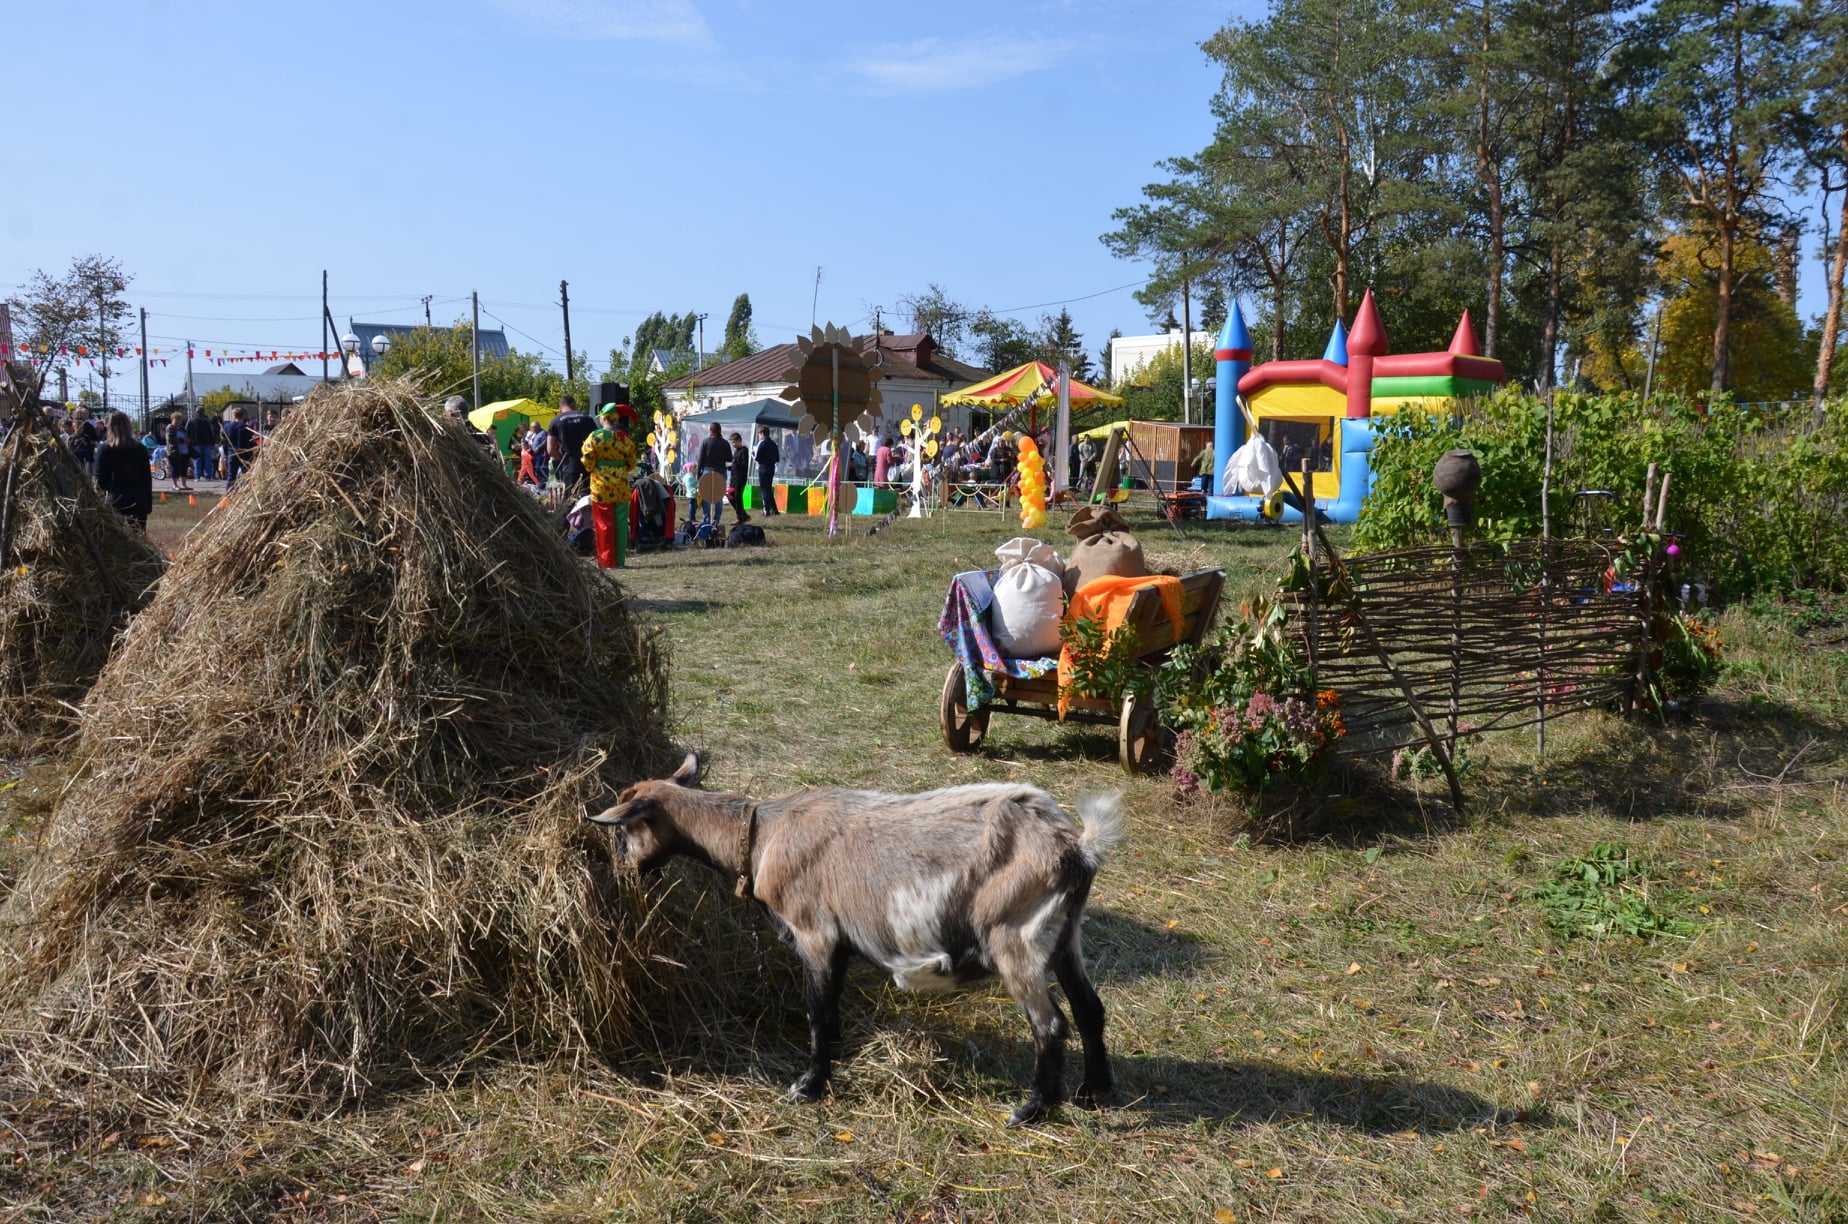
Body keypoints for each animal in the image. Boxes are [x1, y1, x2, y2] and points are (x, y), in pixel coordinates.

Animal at [587, 758, 1123, 1131]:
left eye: (622, 833)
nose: (622, 874)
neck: (762, 837)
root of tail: (1076, 847)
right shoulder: (838, 943)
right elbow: (833, 1005)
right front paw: (833, 1061)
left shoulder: (814, 933)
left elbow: (817, 1009)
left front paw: (809, 1085)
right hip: (1065, 934)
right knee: (1090, 1009)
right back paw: (1093, 1092)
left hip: (1017, 937)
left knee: (1050, 1024)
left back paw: (1032, 1110)